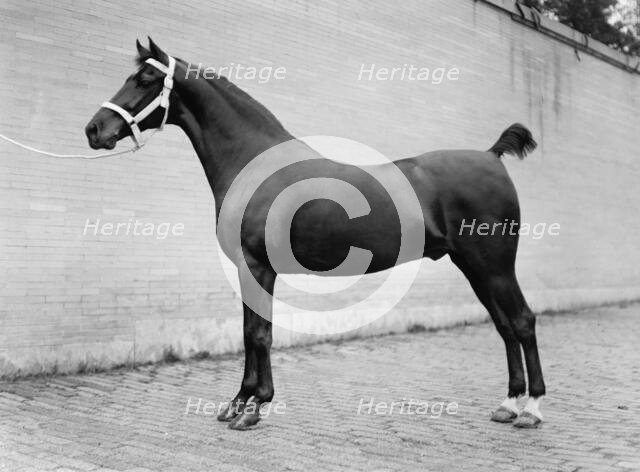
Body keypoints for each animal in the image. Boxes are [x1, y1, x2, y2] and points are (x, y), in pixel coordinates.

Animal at [85, 38, 545, 430]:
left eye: (145, 80)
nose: (94, 130)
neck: (253, 162)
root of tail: (491, 156)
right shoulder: (246, 269)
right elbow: (248, 332)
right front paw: (238, 403)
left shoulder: (258, 267)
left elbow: (259, 334)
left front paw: (255, 408)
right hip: (473, 266)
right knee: (504, 326)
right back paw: (508, 405)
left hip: (494, 266)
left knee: (522, 321)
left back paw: (531, 409)